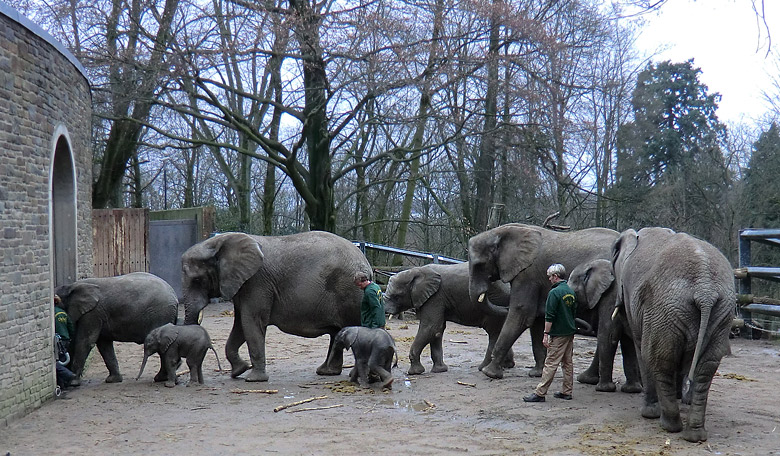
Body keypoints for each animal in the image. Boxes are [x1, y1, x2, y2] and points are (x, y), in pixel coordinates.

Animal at [181, 232, 370, 382]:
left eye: (197, 280)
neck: (220, 242)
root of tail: (365, 262)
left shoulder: (256, 282)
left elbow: (251, 322)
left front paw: (253, 379)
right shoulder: (243, 285)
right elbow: (240, 324)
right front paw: (239, 371)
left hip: (350, 292)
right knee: (337, 332)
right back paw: (326, 372)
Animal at [382, 262, 516, 376]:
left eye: (397, 296)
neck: (416, 271)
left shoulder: (434, 298)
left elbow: (431, 327)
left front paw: (415, 372)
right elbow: (438, 330)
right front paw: (440, 370)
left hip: (497, 299)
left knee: (493, 332)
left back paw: (484, 368)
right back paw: (507, 365)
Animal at [466, 224, 620, 378]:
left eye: (480, 264)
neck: (501, 232)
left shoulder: (527, 275)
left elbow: (523, 313)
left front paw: (489, 373)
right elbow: (537, 319)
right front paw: (537, 373)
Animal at [612, 227, 736, 442]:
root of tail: (705, 290)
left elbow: (641, 348)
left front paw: (649, 413)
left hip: (665, 309)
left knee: (659, 359)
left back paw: (668, 425)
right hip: (720, 313)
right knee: (706, 366)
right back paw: (695, 435)